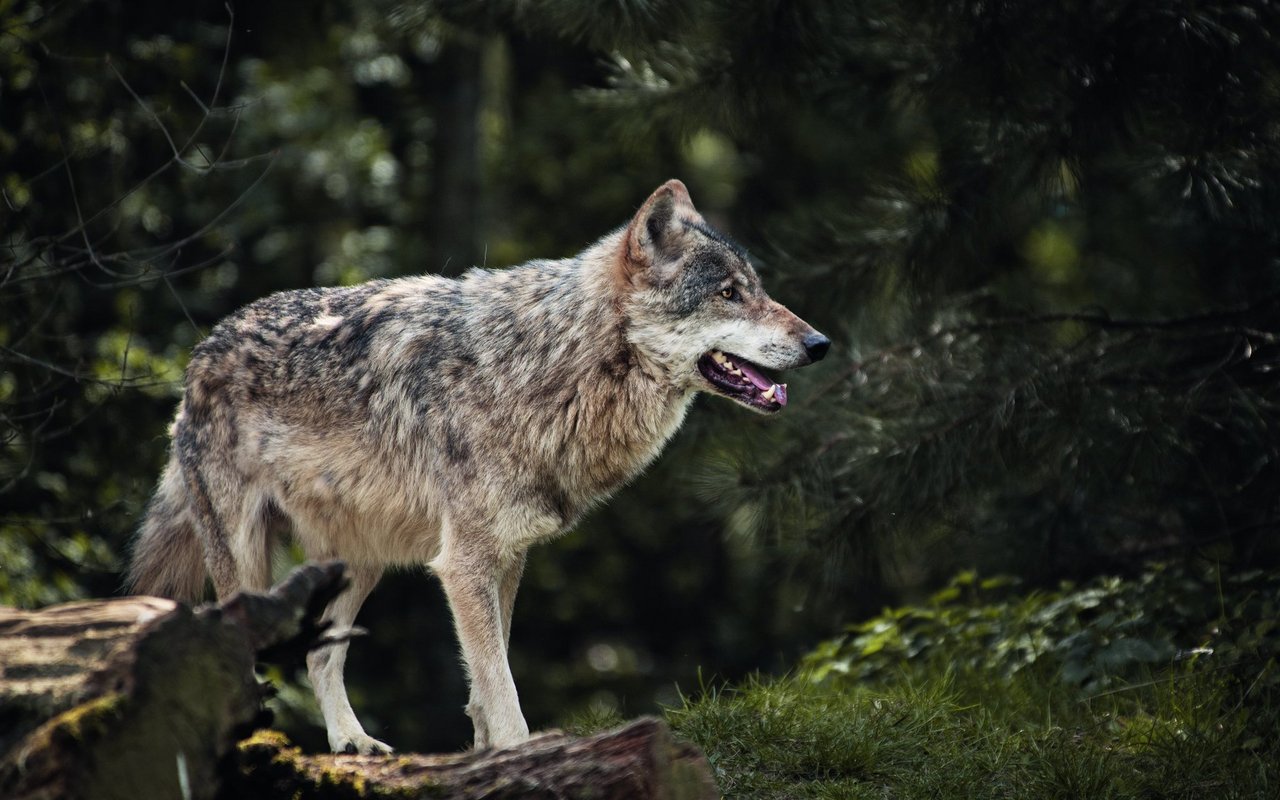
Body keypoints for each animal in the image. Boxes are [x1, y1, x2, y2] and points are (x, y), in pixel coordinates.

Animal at [127, 177, 829, 752]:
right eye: (729, 293)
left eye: (758, 290)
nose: (820, 344)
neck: (550, 364)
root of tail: (196, 360)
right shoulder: (463, 564)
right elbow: (503, 690)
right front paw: (521, 757)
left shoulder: (507, 556)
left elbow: (487, 690)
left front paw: (489, 756)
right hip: (248, 563)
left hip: (362, 561)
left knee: (319, 659)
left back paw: (352, 742)